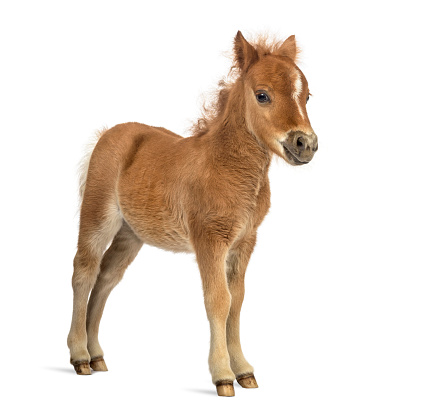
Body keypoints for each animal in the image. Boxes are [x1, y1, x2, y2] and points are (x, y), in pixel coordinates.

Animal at [67, 30, 316, 396]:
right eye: (262, 95)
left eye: (307, 96)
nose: (305, 144)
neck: (229, 167)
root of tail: (109, 133)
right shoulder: (208, 239)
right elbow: (218, 300)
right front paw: (223, 375)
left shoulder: (244, 243)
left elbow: (237, 301)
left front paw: (244, 371)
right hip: (99, 217)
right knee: (84, 272)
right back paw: (80, 356)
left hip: (131, 233)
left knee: (107, 278)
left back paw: (96, 355)